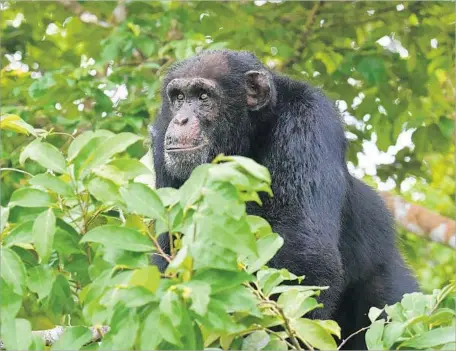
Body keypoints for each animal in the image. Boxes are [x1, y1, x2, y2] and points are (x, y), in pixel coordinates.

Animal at [149, 48, 416, 350]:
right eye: (179, 97)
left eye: (203, 97)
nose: (180, 119)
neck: (247, 135)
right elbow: (168, 246)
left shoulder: (309, 120)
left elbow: (303, 250)